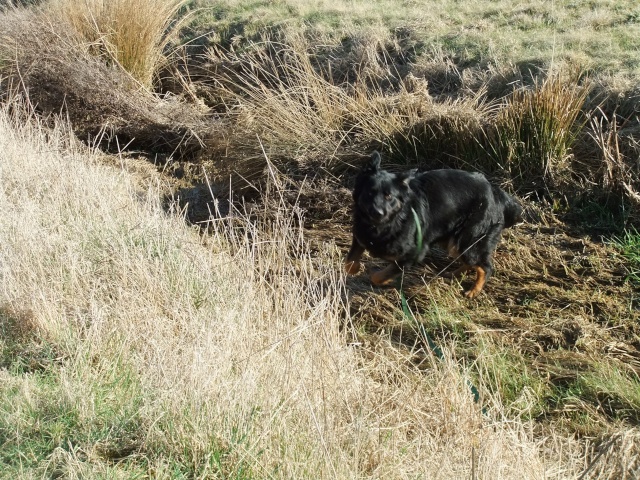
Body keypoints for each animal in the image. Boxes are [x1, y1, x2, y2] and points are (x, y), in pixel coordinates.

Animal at [344, 152, 520, 298]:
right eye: (369, 193)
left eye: (389, 196)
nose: (377, 212)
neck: (392, 220)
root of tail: (497, 193)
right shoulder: (360, 235)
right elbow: (349, 262)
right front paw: (355, 269)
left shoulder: (414, 253)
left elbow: (378, 276)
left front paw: (386, 281)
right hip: (453, 242)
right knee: (470, 263)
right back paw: (453, 274)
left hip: (467, 240)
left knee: (486, 267)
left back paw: (473, 291)